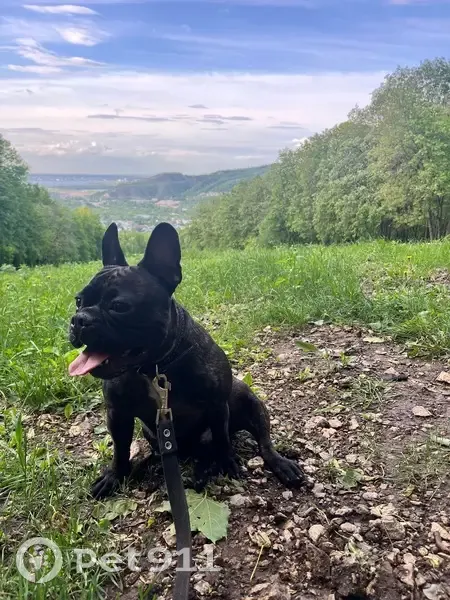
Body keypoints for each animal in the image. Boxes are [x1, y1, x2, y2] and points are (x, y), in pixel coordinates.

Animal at [68, 222, 305, 499]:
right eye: (78, 301)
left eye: (119, 306)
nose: (79, 319)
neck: (153, 368)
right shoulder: (118, 415)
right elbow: (120, 450)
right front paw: (115, 476)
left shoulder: (217, 407)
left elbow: (222, 440)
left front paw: (227, 463)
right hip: (153, 435)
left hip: (252, 405)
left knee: (259, 442)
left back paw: (270, 464)